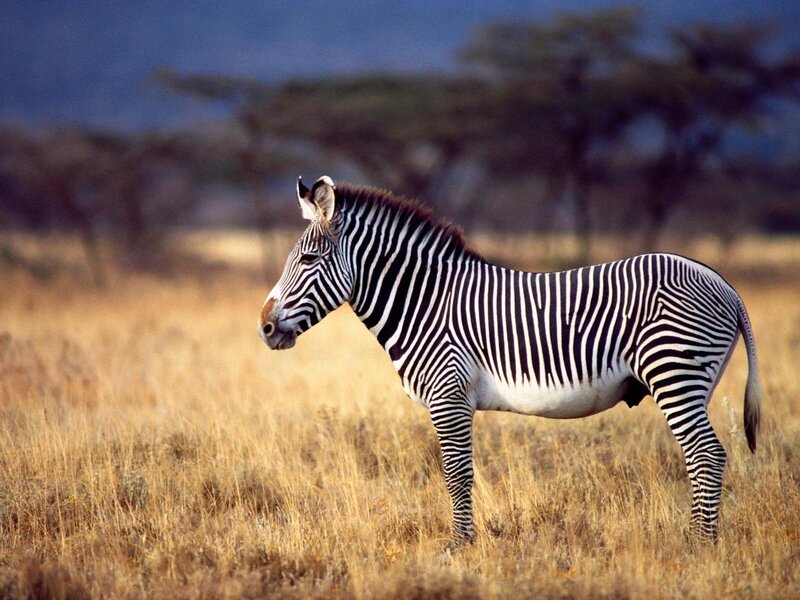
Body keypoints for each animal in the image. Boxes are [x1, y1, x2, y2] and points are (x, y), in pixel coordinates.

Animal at [259, 175, 762, 548]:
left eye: (308, 259)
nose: (263, 326)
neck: (425, 302)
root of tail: (724, 283)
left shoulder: (449, 395)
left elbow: (457, 475)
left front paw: (460, 547)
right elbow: (460, 474)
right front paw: (464, 544)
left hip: (675, 371)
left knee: (707, 455)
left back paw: (699, 545)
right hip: (694, 381)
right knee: (701, 457)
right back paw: (698, 538)